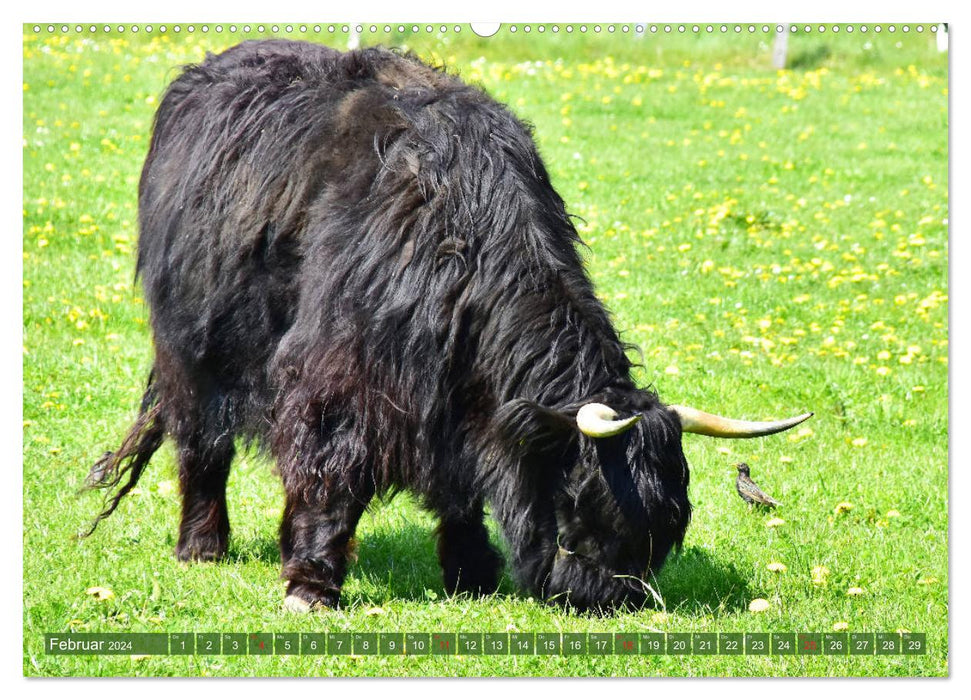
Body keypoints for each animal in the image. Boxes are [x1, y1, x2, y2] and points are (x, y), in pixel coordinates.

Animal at [87, 39, 812, 612]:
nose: (608, 600)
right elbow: (328, 472)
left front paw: (472, 575)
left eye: (667, 527)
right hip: (190, 349)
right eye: (583, 500)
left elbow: (461, 490)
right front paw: (311, 586)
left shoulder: (460, 406)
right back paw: (202, 546)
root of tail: (205, 73)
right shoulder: (335, 378)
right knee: (201, 444)